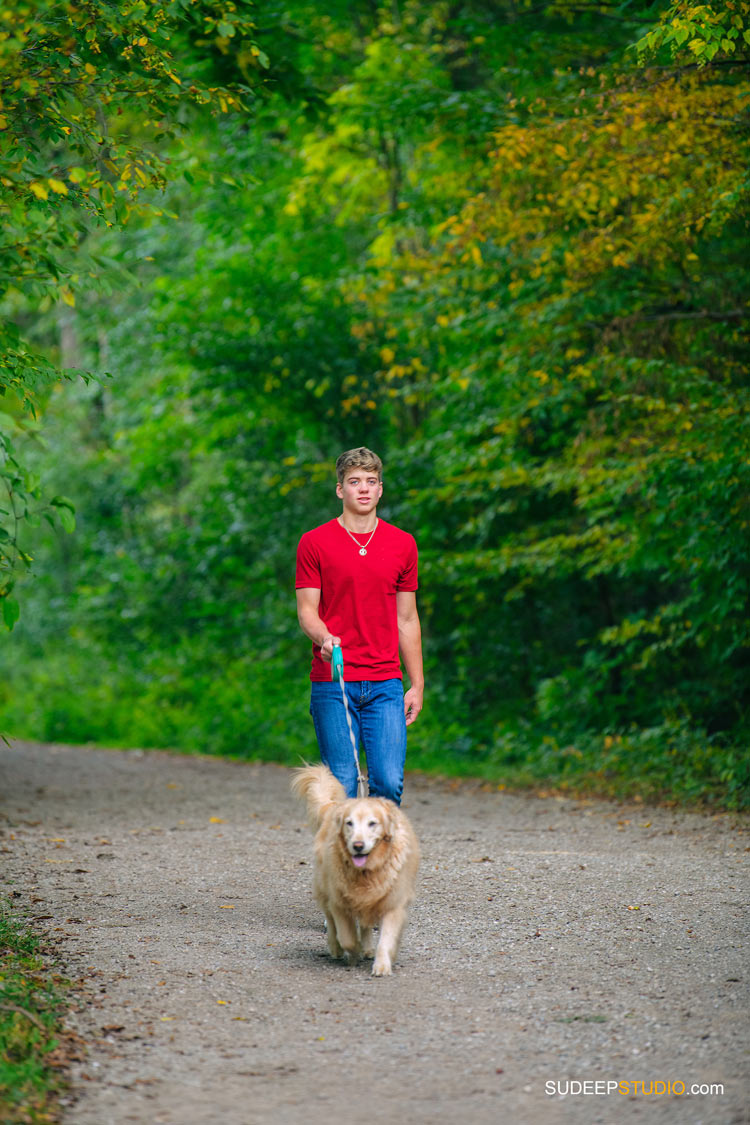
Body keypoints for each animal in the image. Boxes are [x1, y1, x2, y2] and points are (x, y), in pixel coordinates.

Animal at [292, 765, 420, 976]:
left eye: (372, 823)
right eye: (349, 823)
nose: (358, 846)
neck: (367, 871)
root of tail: (334, 806)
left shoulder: (393, 902)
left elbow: (386, 938)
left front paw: (382, 965)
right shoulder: (339, 902)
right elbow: (347, 938)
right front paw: (352, 951)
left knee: (366, 925)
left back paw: (368, 949)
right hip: (325, 888)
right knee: (332, 923)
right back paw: (337, 948)